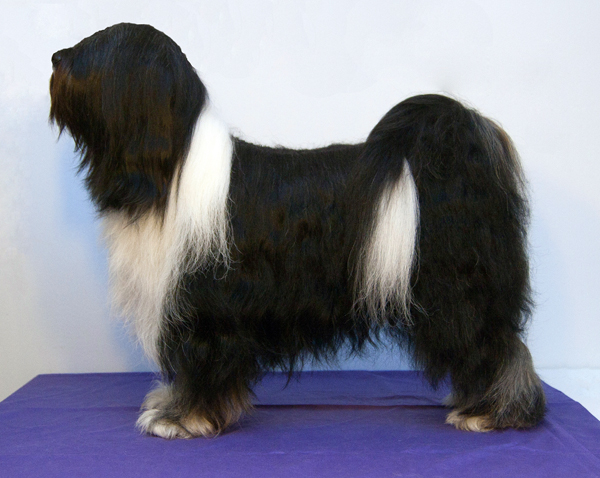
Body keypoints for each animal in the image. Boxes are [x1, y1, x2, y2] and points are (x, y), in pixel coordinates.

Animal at [49, 23, 545, 439]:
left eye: (98, 48)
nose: (55, 57)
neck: (171, 172)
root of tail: (456, 153)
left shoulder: (205, 306)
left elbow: (201, 364)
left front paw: (182, 418)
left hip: (456, 289)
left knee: (496, 346)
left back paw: (492, 412)